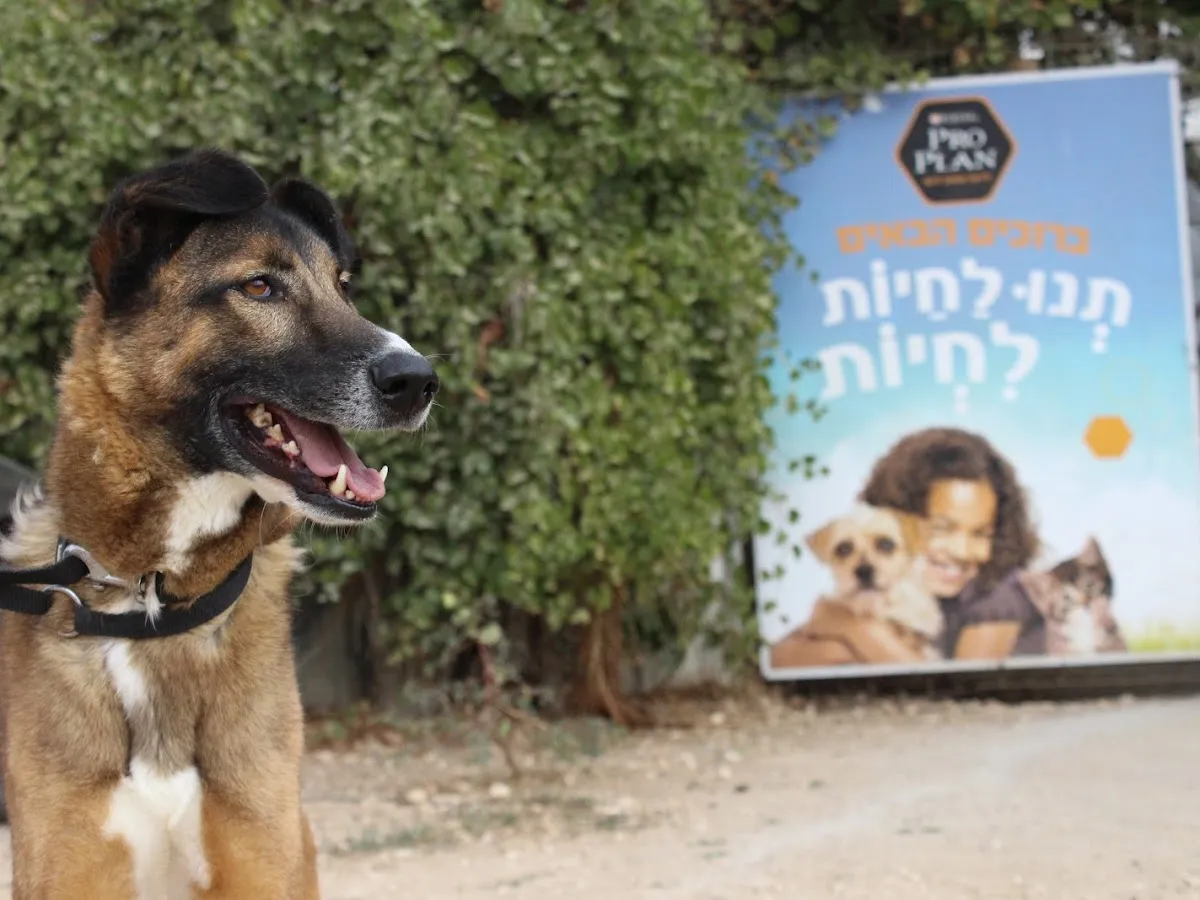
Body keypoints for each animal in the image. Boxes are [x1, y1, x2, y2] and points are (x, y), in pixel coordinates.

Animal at [0, 150, 437, 899]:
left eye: (342, 286)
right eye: (258, 286)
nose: (420, 380)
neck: (151, 601)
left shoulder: (262, 857)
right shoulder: (71, 868)